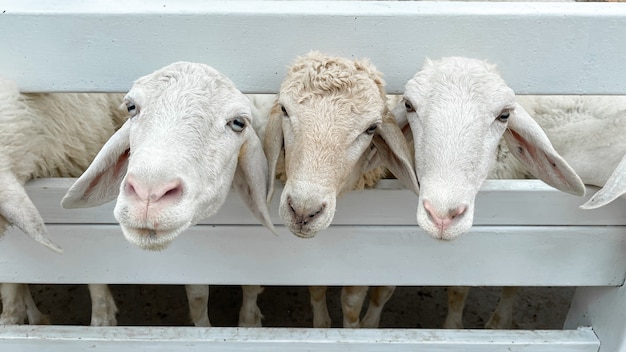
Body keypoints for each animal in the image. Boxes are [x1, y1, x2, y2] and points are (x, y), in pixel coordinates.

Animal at [62, 60, 274, 328]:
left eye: (238, 123)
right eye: (131, 107)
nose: (148, 195)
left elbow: (251, 285)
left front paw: (249, 323)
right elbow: (197, 296)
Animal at [260, 51, 416, 328]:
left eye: (371, 128)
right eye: (285, 110)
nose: (303, 211)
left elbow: (352, 301)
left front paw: (356, 328)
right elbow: (317, 287)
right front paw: (323, 323)